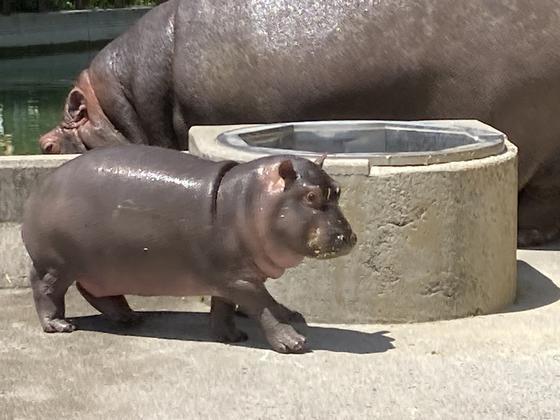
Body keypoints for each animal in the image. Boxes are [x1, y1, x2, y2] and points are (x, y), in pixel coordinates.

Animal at [23, 146, 354, 352]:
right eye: (311, 196)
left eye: (338, 190)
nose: (349, 237)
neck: (248, 200)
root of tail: (40, 187)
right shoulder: (242, 280)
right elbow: (265, 306)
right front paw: (295, 343)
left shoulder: (230, 278)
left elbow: (223, 308)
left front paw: (231, 337)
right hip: (55, 265)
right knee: (45, 289)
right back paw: (60, 325)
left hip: (102, 269)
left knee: (96, 293)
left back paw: (130, 318)